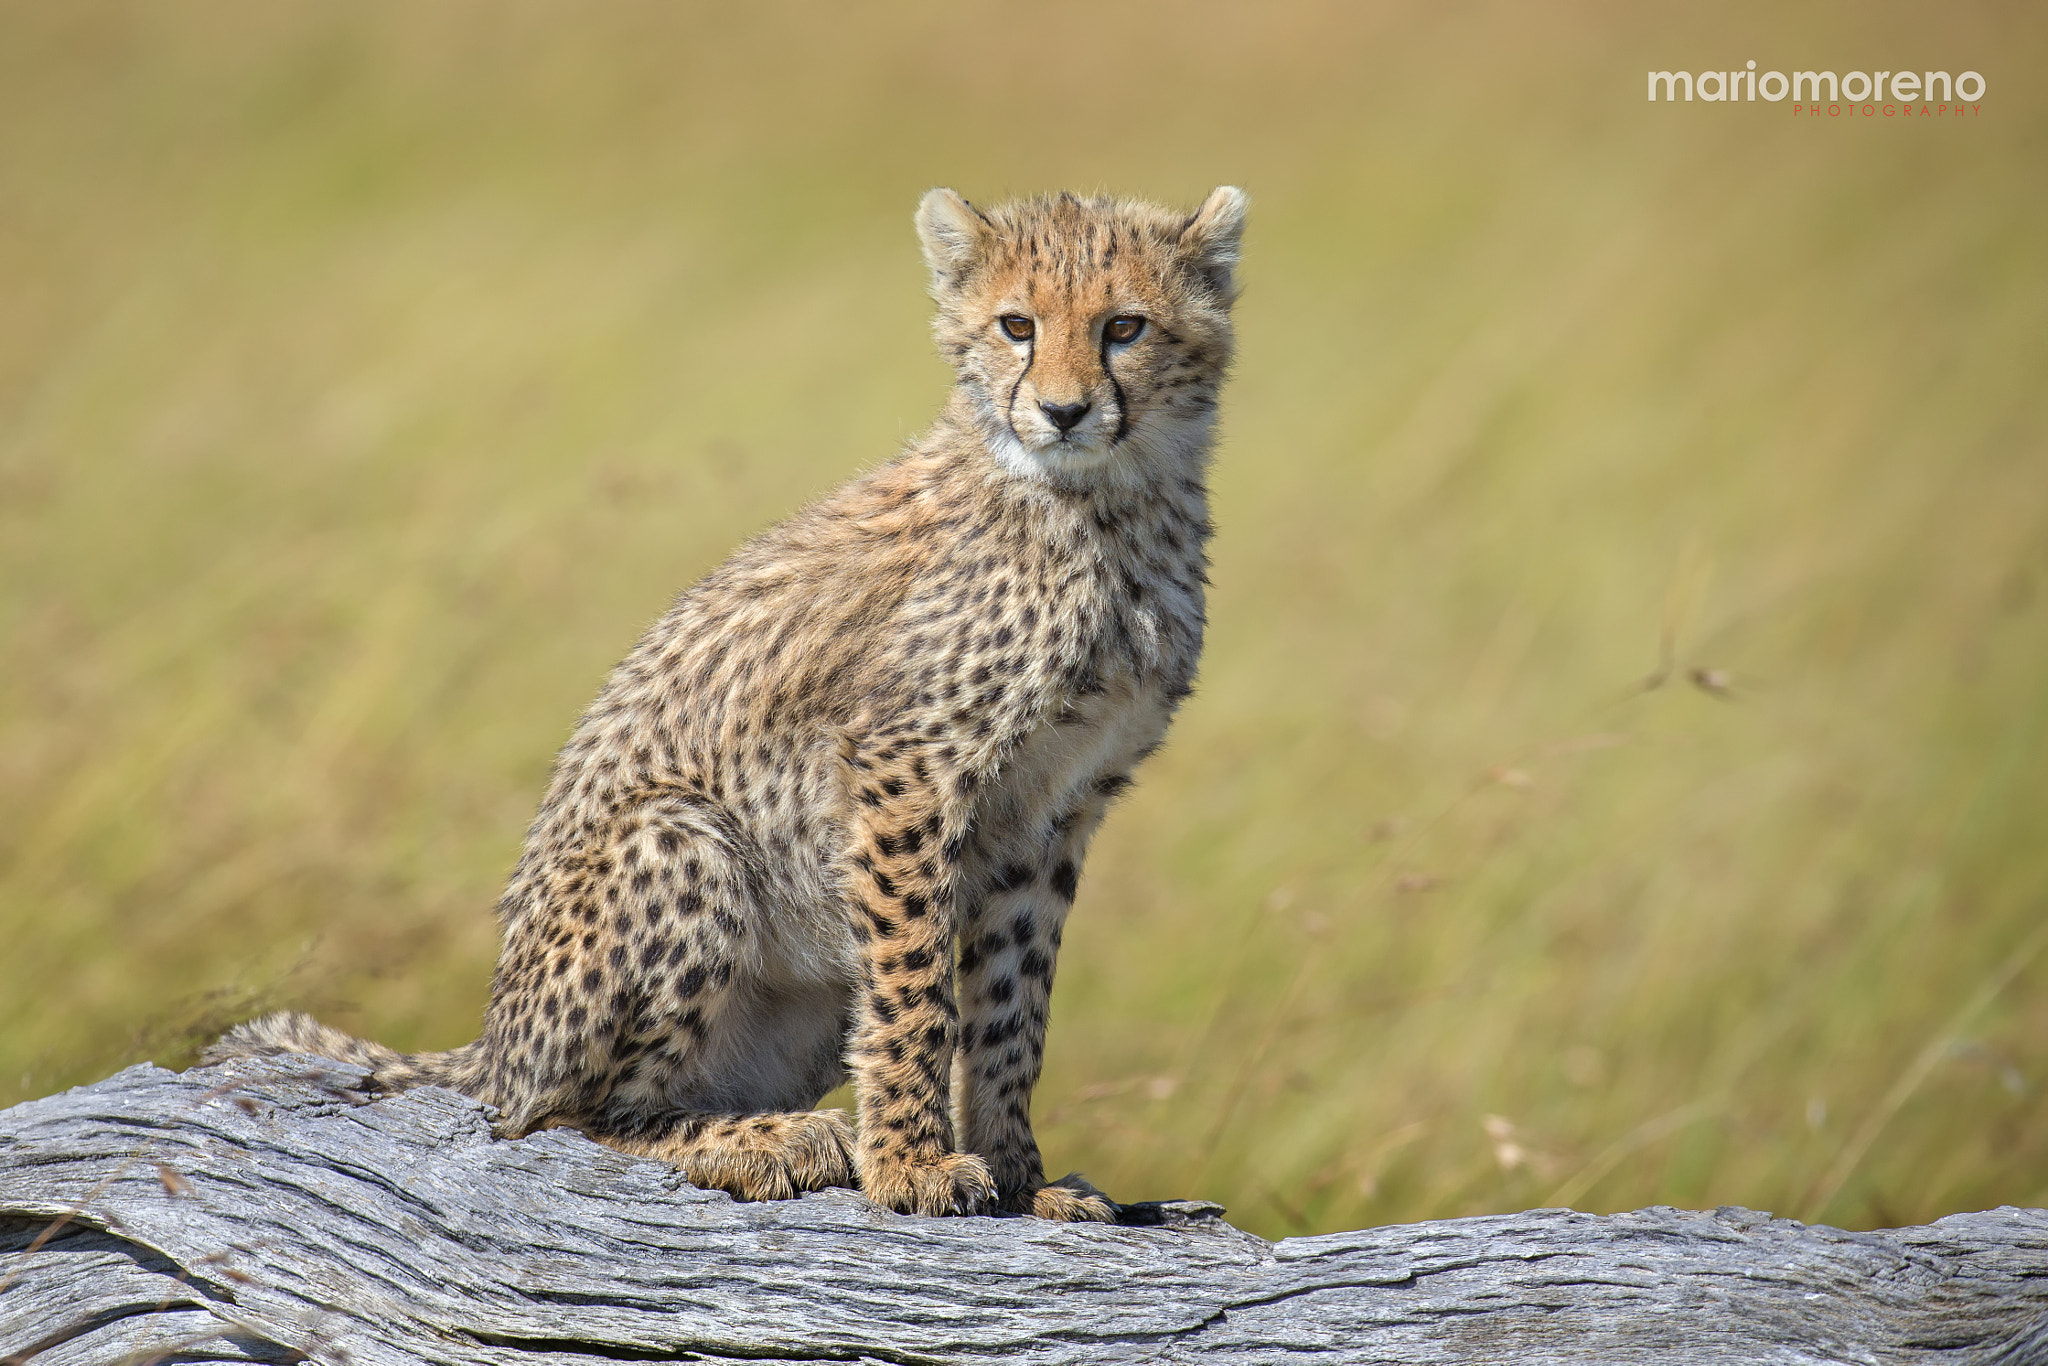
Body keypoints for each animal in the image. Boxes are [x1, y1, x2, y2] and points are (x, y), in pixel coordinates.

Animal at [204, 185, 1246, 1222]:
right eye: (1016, 326)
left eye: (1123, 327)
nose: (1064, 411)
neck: (1110, 502)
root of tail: (494, 1044)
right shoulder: (907, 766)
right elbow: (917, 991)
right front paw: (911, 1165)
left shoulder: (1055, 810)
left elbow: (1012, 1007)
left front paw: (1024, 1177)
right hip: (679, 839)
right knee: (568, 1119)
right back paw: (766, 1142)